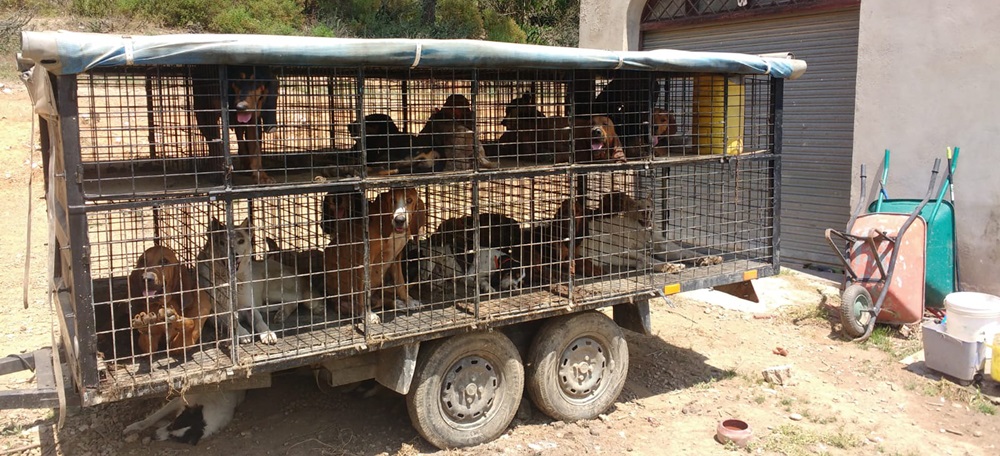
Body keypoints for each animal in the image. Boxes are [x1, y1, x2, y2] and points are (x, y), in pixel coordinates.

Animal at [324, 186, 426, 324]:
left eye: (409, 200)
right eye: (392, 200)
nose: (399, 220)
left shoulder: (396, 258)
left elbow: (401, 283)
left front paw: (408, 301)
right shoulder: (364, 263)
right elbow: (362, 292)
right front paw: (366, 315)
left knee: (379, 301)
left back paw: (398, 304)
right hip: (343, 303)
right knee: (356, 306)